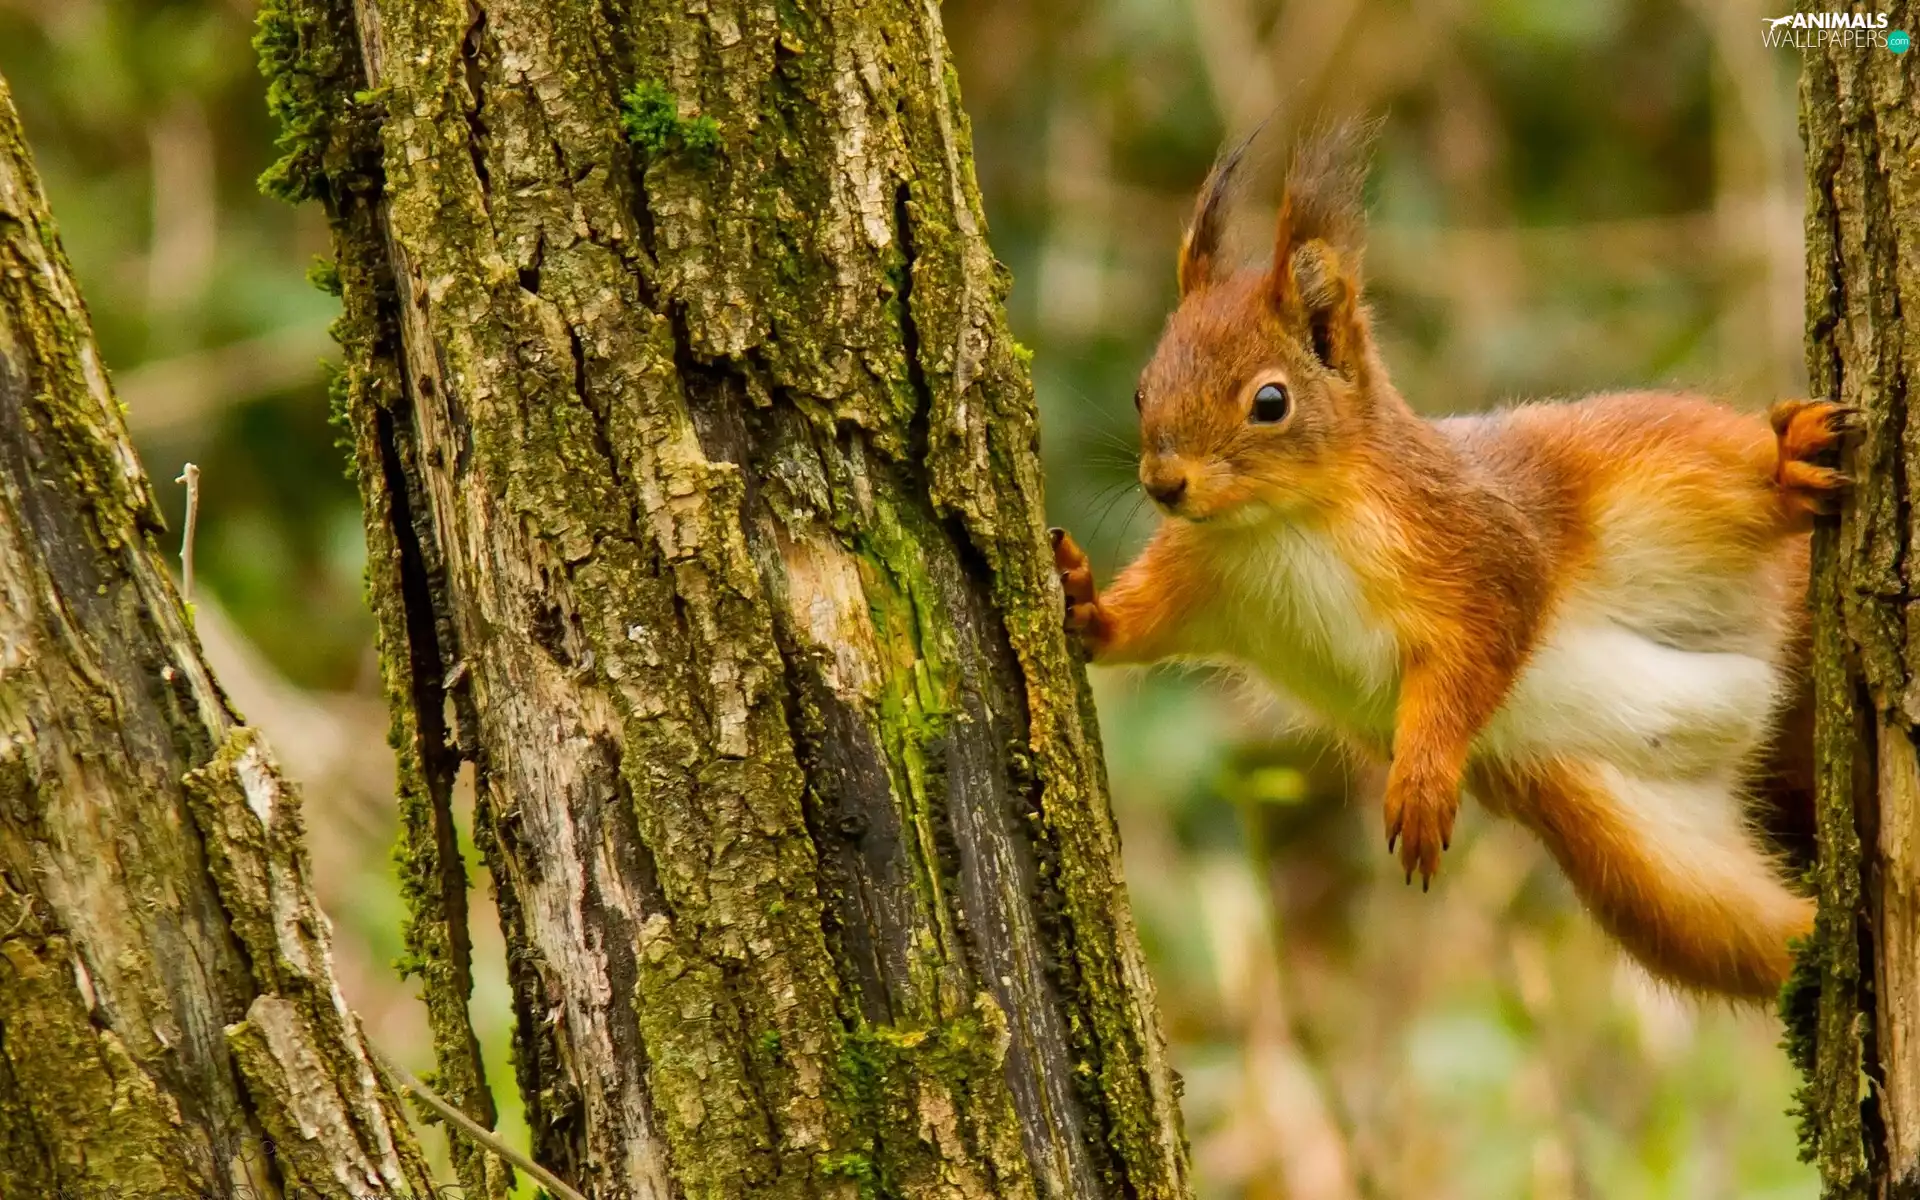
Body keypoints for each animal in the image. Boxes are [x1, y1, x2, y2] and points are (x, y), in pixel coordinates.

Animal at [1049, 121, 1850, 1001]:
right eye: (1141, 389)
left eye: (1270, 402)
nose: (1163, 484)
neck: (1280, 526)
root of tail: (1768, 669)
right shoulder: (1203, 579)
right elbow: (1142, 627)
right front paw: (1084, 602)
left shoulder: (1476, 544)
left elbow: (1479, 650)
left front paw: (1422, 782)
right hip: (1636, 858)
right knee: (1748, 935)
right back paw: (1816, 947)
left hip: (1661, 471)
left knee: (1736, 477)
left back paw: (1787, 467)